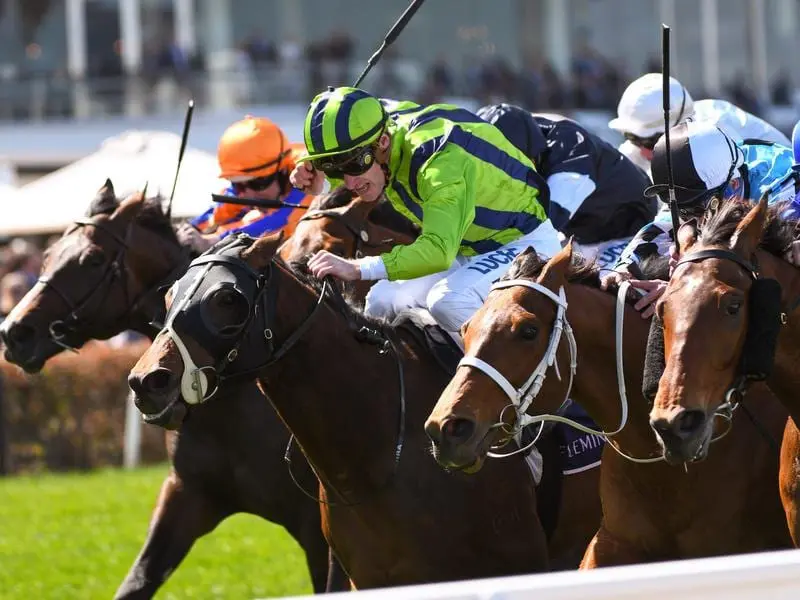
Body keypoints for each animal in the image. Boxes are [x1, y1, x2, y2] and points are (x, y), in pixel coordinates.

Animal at [0, 180, 412, 596]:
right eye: (49, 254)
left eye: (93, 260)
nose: (15, 332)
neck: (232, 403)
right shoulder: (187, 494)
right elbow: (137, 581)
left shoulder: (320, 530)